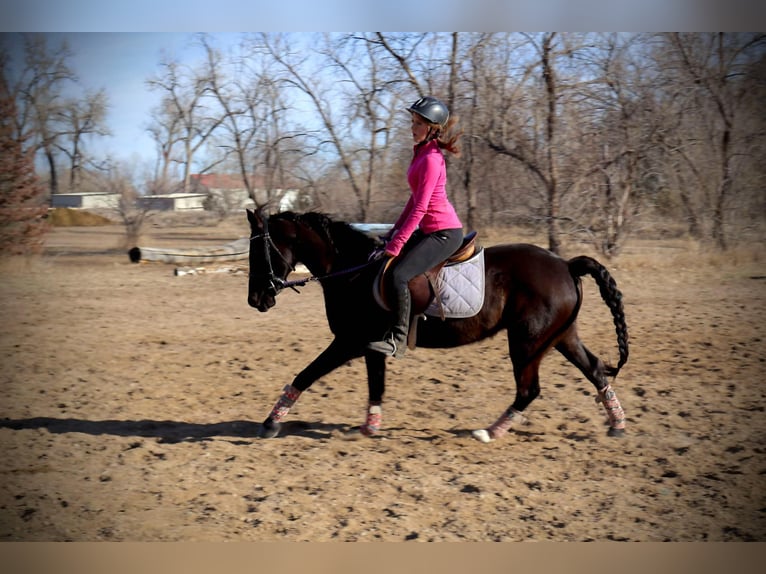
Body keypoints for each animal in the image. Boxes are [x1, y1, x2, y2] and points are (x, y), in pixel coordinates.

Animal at [246, 209, 632, 444]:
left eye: (259, 253)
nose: (256, 300)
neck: (352, 271)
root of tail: (565, 264)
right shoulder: (370, 345)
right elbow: (376, 385)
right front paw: (370, 427)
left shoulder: (349, 341)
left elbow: (306, 374)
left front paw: (270, 422)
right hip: (560, 336)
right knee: (595, 370)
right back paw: (617, 425)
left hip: (527, 342)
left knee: (529, 390)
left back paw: (489, 432)